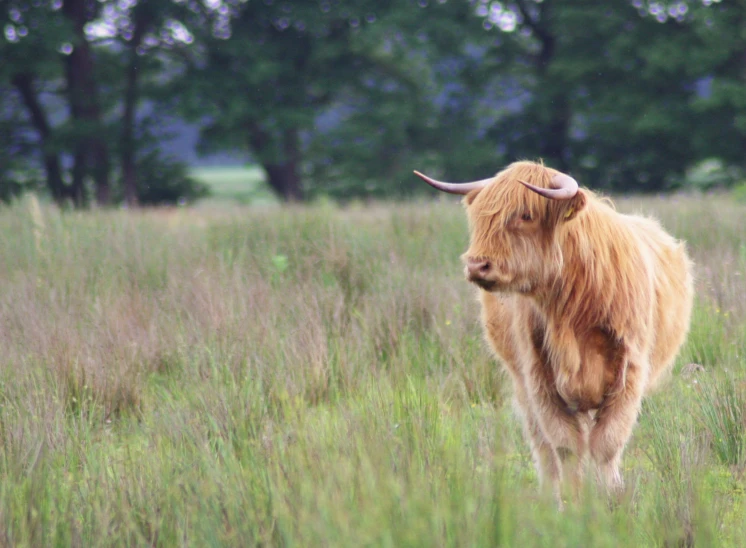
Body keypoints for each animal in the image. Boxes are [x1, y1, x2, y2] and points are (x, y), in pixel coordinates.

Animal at [412, 159, 692, 506]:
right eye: (480, 217)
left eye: (526, 215)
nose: (477, 265)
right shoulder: (539, 378)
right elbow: (565, 445)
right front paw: (571, 502)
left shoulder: (629, 372)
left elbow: (607, 443)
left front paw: (611, 499)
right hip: (522, 386)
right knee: (541, 444)